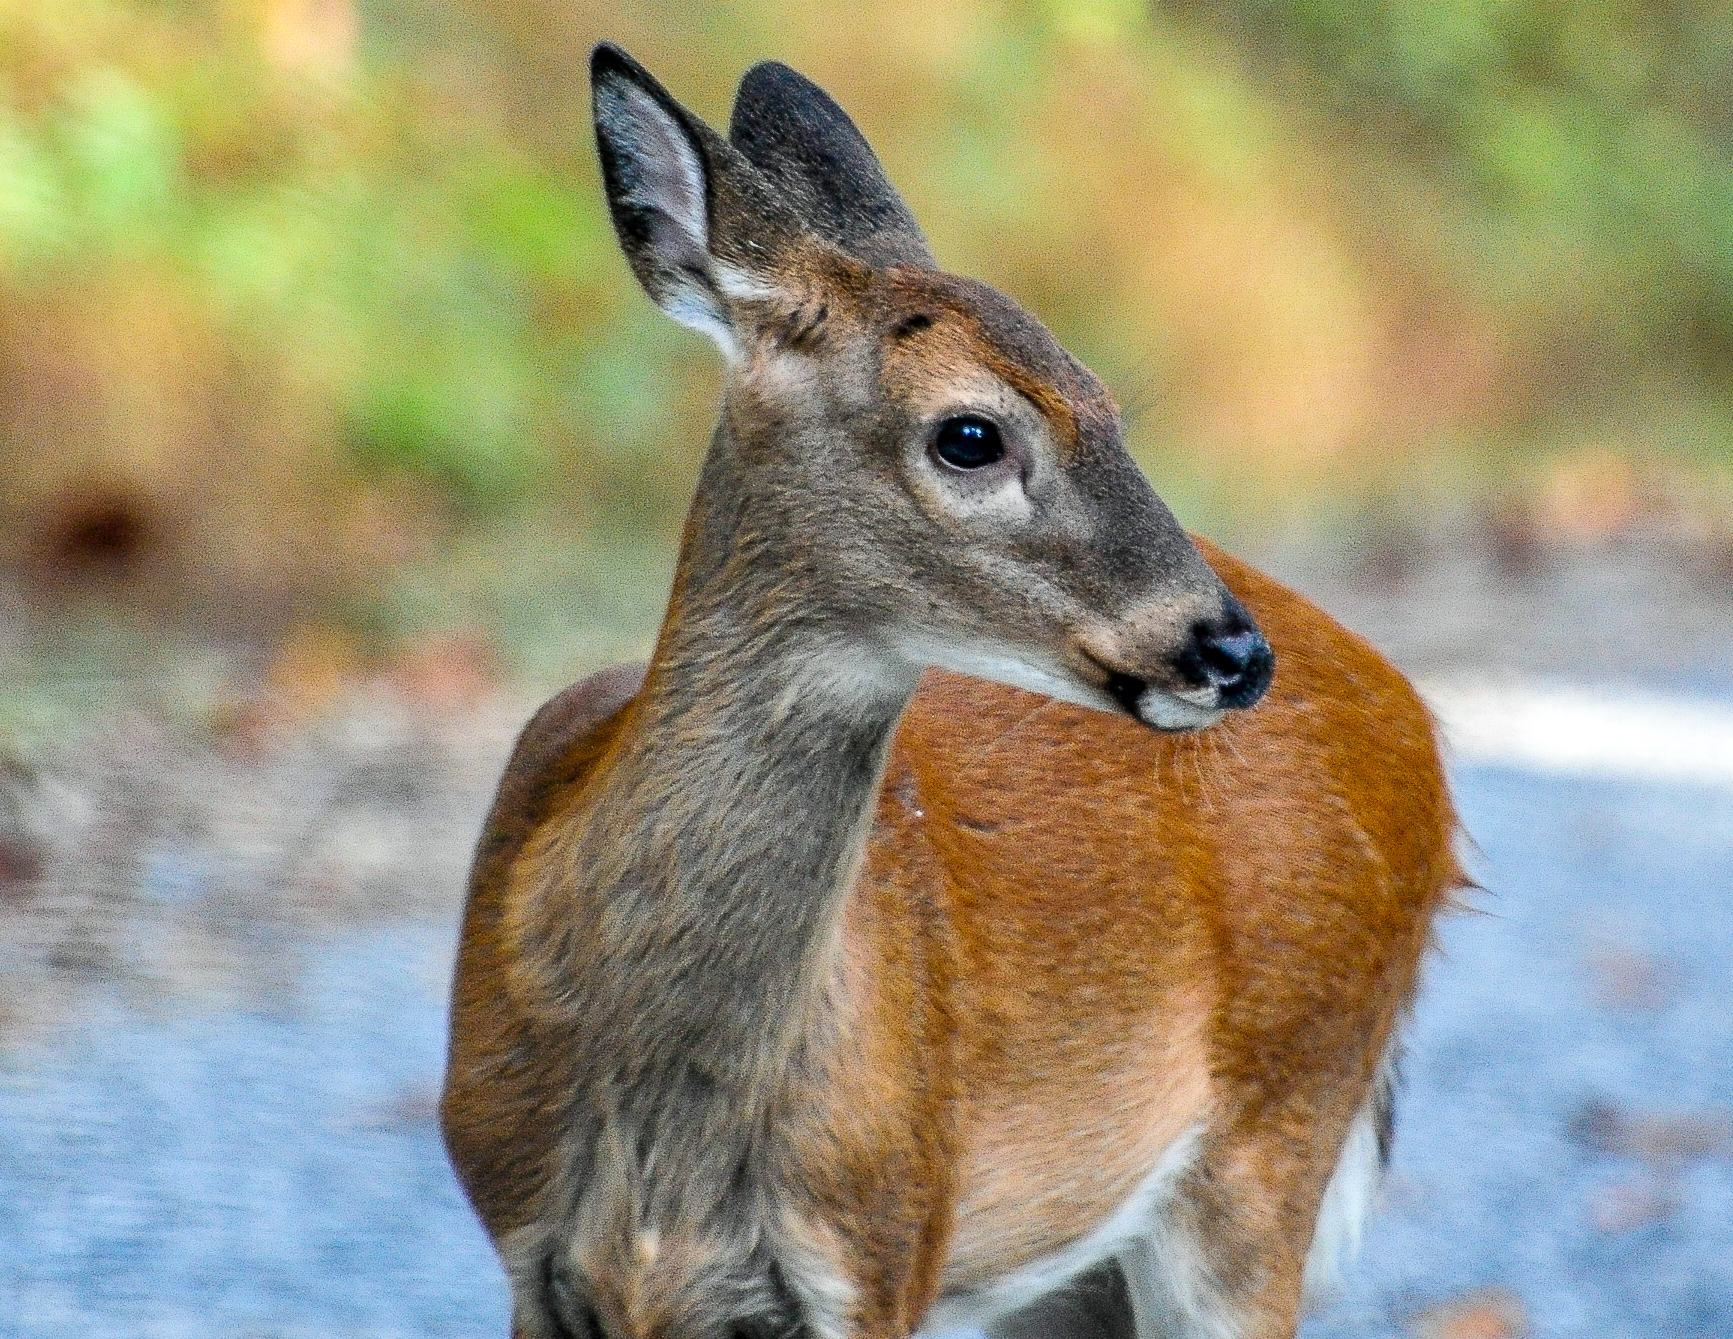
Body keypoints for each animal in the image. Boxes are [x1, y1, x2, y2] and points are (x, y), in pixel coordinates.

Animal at [441, 43, 1461, 1339]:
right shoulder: (525, 1246)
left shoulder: (885, 1238)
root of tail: (1411, 716)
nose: (1231, 649)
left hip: (1275, 1129)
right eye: (970, 435)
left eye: (1105, 402)